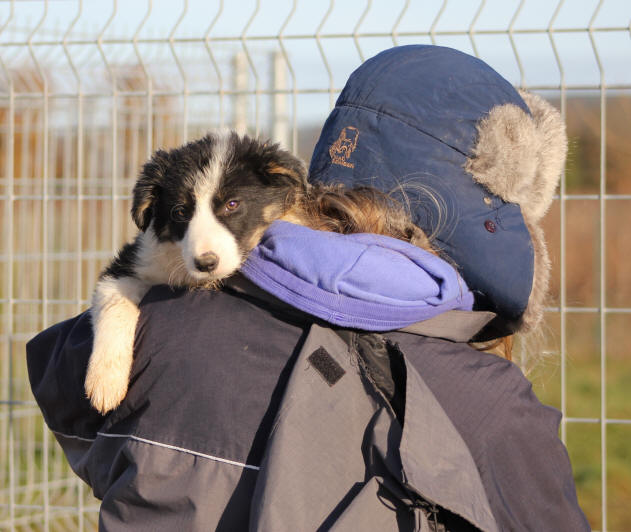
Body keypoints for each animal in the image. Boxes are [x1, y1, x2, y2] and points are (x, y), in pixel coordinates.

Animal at [86, 131, 308, 414]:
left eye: (232, 204)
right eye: (180, 211)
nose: (206, 263)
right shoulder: (132, 263)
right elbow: (114, 302)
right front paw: (104, 382)